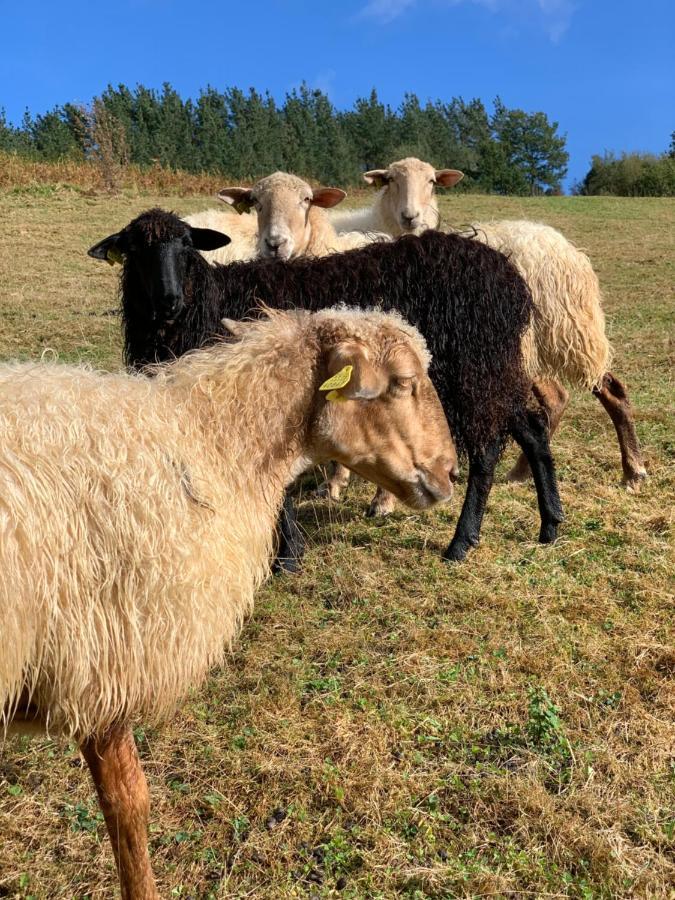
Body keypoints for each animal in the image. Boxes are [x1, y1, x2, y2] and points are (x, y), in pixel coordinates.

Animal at [90, 207, 564, 568]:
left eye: (187, 246)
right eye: (135, 250)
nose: (168, 300)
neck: (208, 304)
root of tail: (509, 277)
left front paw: (287, 557)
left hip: (473, 371)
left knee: (487, 450)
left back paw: (461, 543)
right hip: (495, 369)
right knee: (532, 428)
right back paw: (551, 525)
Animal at [330, 155, 648, 492]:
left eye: (432, 182)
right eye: (390, 180)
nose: (410, 216)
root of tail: (567, 249)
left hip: (567, 332)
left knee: (608, 389)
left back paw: (633, 470)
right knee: (557, 398)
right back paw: (524, 472)